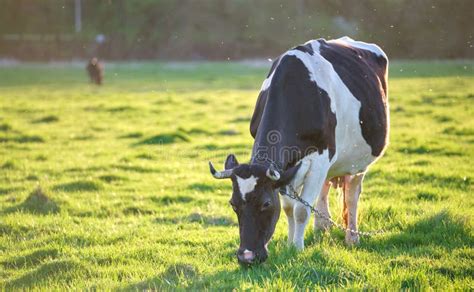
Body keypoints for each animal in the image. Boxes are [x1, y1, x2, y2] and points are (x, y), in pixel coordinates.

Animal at [209, 36, 386, 264]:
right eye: (233, 203)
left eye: (266, 203)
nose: (247, 256)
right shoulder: (286, 169)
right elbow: (288, 208)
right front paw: (290, 244)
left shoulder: (320, 159)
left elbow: (301, 209)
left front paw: (297, 248)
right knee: (325, 188)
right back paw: (322, 227)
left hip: (359, 163)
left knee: (352, 196)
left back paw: (352, 238)